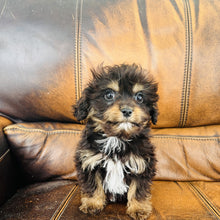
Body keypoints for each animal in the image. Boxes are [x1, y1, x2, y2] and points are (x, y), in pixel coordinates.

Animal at [73, 64, 158, 220]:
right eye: (109, 95)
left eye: (140, 97)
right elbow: (93, 184)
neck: (116, 138)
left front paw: (139, 208)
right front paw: (92, 204)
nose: (127, 110)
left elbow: (138, 188)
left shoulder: (142, 164)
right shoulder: (89, 161)